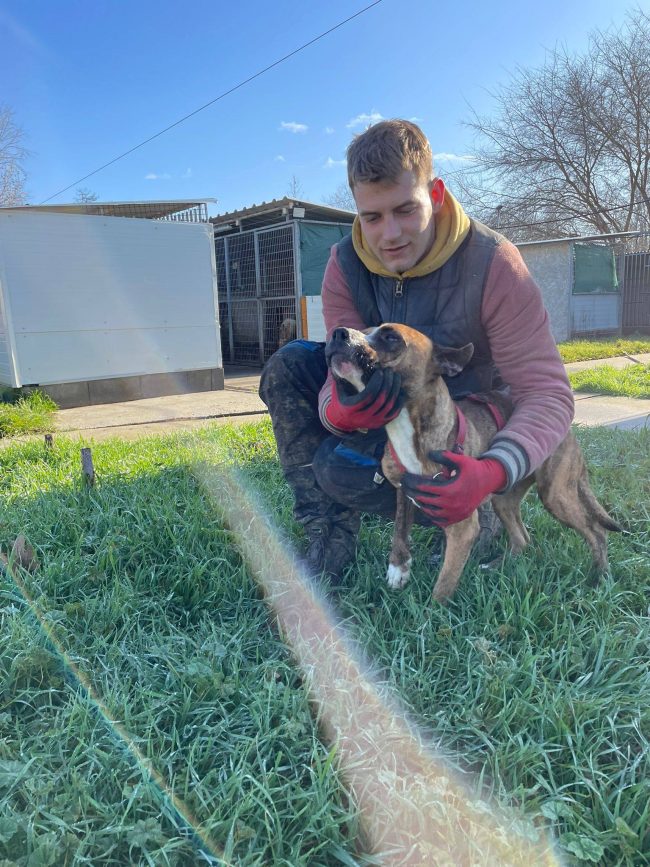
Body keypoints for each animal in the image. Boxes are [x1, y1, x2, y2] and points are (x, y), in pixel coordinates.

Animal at [325, 323, 621, 604]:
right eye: (364, 331)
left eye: (391, 337)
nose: (338, 333)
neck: (408, 426)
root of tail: (569, 430)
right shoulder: (403, 490)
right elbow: (399, 530)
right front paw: (398, 569)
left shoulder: (462, 526)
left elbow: (444, 584)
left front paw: (431, 616)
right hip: (504, 498)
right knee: (522, 538)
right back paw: (497, 566)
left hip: (556, 495)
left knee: (596, 532)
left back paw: (599, 578)